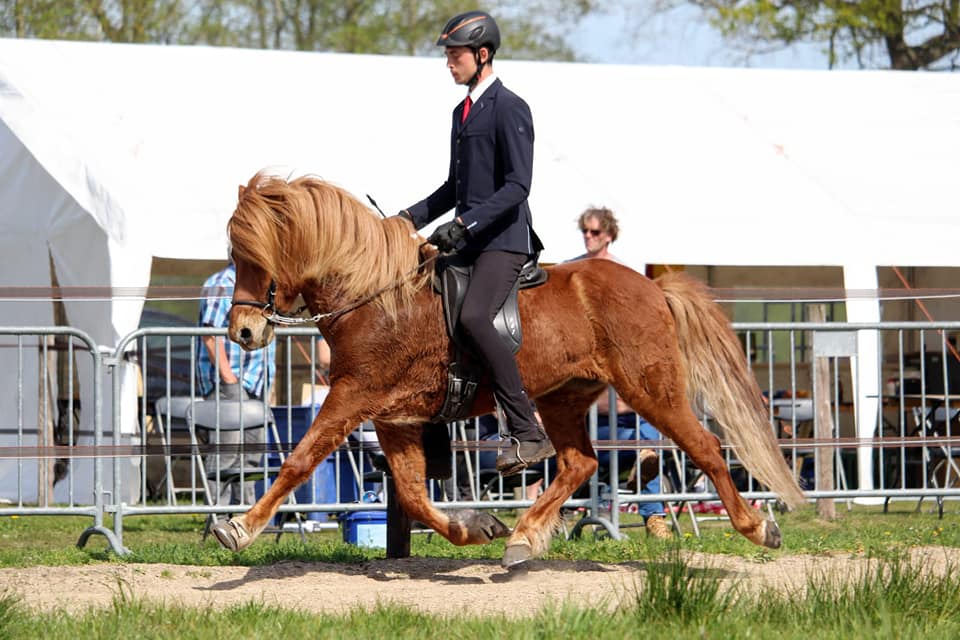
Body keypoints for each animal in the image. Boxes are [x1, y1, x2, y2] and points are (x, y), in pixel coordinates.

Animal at [214, 172, 808, 568]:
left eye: (253, 256)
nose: (242, 332)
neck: (376, 295)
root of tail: (652, 287)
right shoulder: (394, 418)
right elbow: (412, 495)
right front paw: (476, 525)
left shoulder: (351, 396)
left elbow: (298, 461)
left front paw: (239, 528)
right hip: (561, 398)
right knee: (579, 463)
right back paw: (523, 536)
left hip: (650, 390)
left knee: (704, 448)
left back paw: (758, 527)